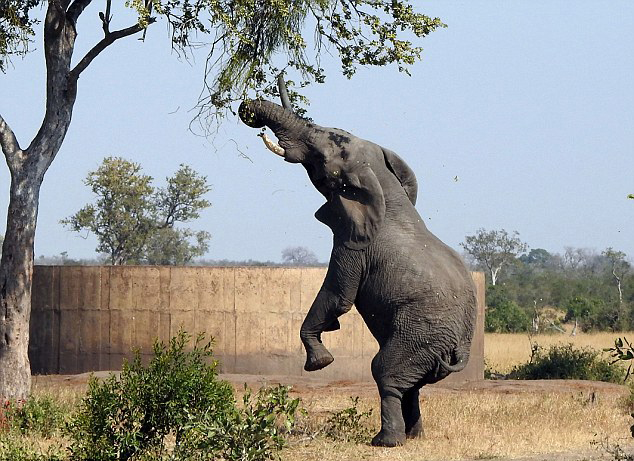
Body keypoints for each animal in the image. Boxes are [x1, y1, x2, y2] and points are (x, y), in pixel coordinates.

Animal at [237, 87, 474, 446]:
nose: (246, 108)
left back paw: (386, 441)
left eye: (320, 155)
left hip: (420, 333)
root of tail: (459, 349)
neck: (383, 184)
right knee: (412, 385)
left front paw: (320, 362)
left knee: (386, 372)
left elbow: (337, 296)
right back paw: (414, 437)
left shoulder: (353, 244)